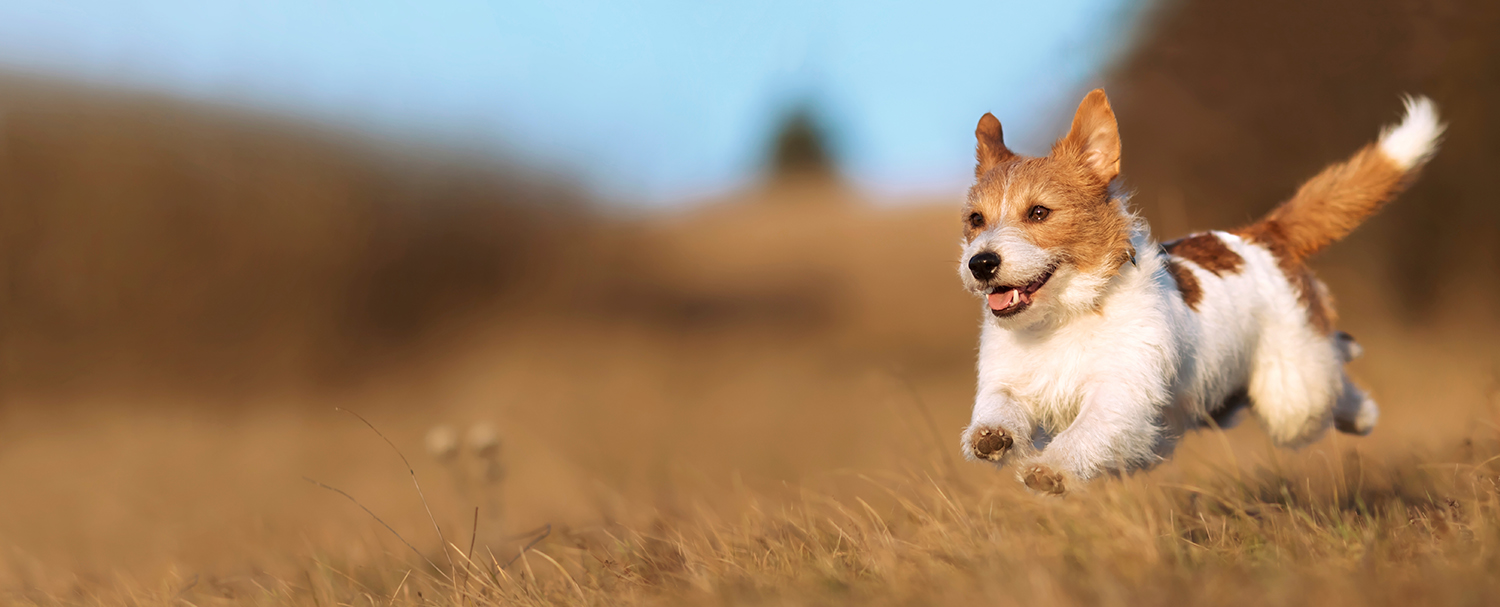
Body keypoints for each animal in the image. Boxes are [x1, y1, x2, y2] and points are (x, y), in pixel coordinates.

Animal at [960, 91, 1440, 497]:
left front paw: (1050, 468)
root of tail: (1263, 234)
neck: (1064, 315)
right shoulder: (1010, 380)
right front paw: (993, 436)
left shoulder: (1120, 393)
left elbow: (1087, 430)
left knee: (1332, 376)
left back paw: (1362, 410)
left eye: (1039, 212)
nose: (980, 263)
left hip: (1292, 398)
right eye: (976, 219)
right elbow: (999, 406)